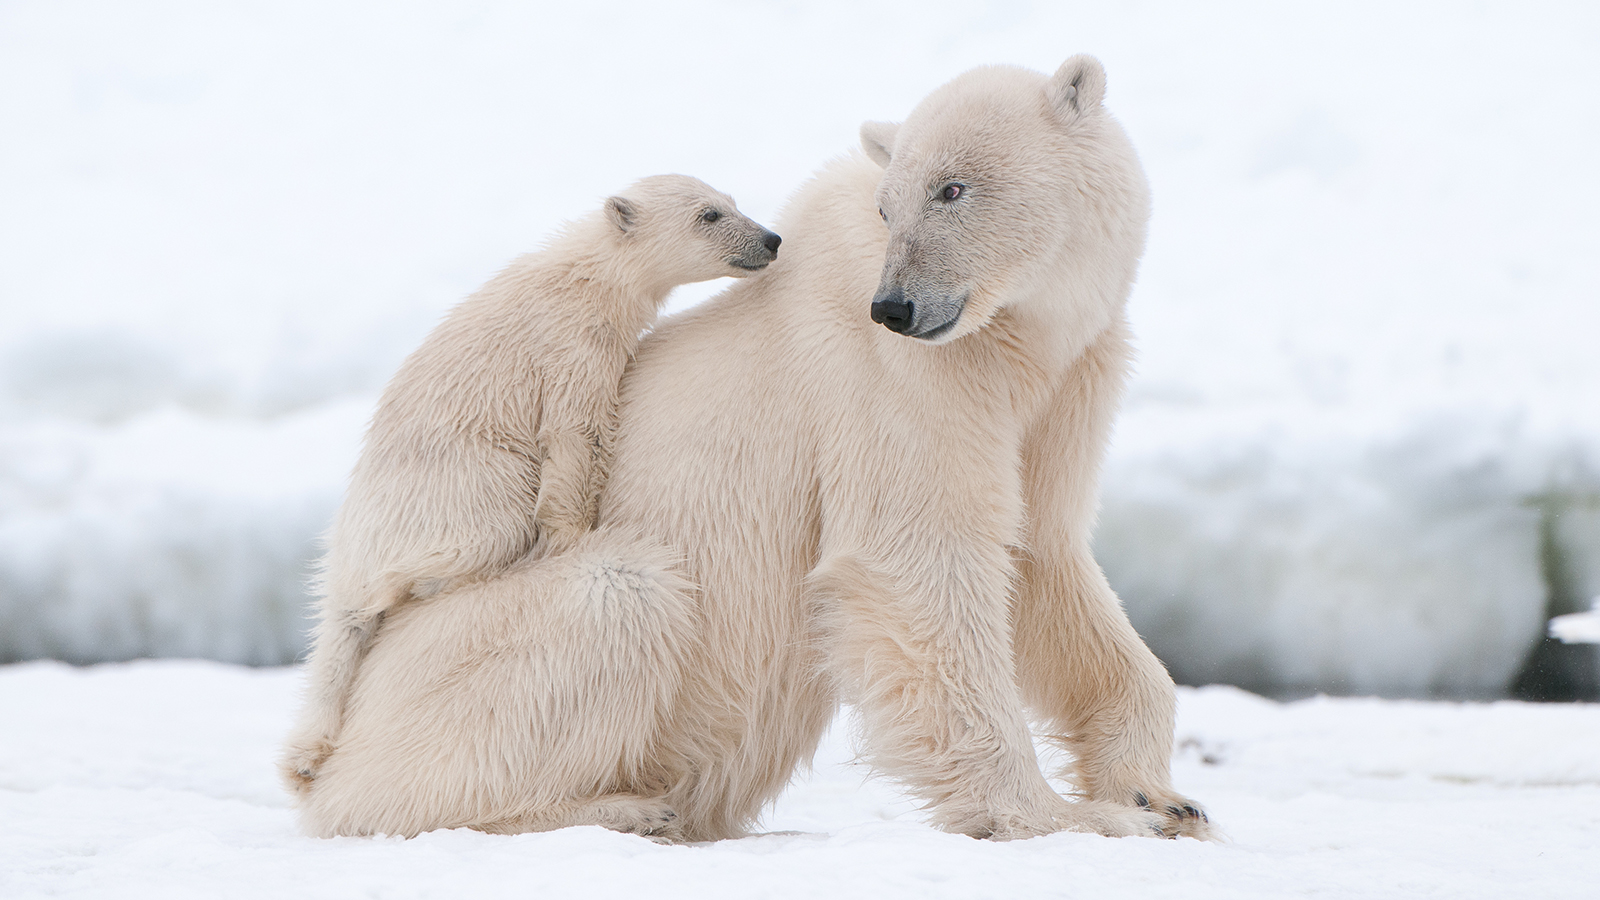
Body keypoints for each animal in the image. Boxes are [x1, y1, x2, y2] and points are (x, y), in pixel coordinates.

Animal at [300, 57, 1203, 839]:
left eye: (953, 188)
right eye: (889, 206)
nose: (897, 307)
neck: (1015, 338)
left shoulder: (1064, 382)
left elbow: (1042, 555)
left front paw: (1161, 796)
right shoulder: (896, 380)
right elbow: (917, 559)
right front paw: (1070, 816)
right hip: (462, 650)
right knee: (615, 595)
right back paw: (621, 807)